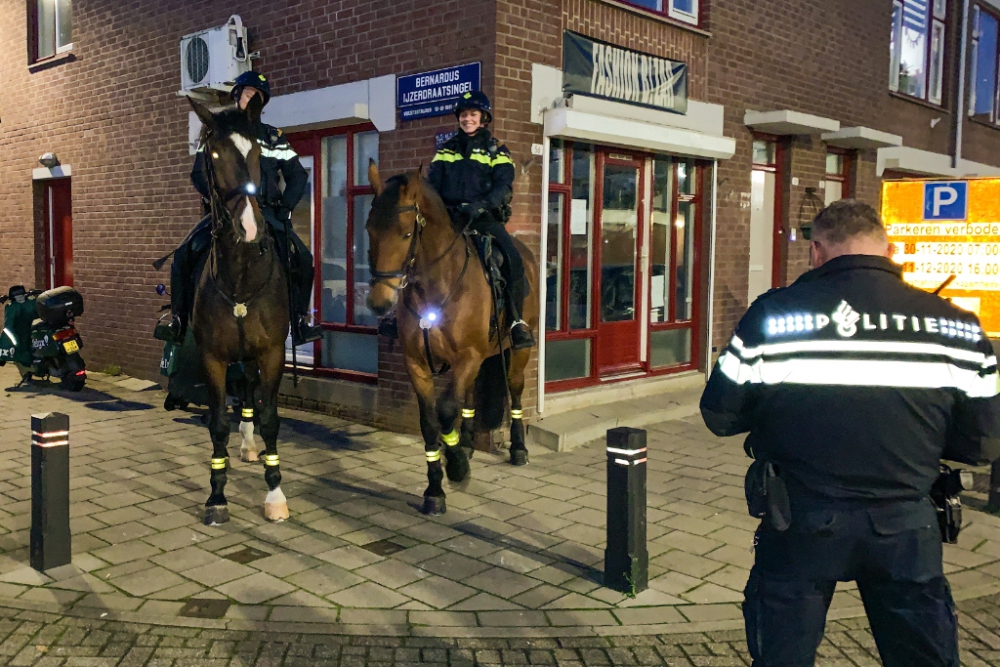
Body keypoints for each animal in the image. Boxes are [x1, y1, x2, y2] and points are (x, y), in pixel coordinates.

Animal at [366, 162, 540, 516]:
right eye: (369, 230)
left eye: (406, 233)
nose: (379, 302)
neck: (437, 284)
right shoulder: (417, 363)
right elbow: (430, 422)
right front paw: (435, 489)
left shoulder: (467, 357)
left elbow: (446, 410)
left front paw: (457, 466)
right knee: (470, 396)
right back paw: (468, 443)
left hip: (516, 353)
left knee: (515, 391)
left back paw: (517, 449)